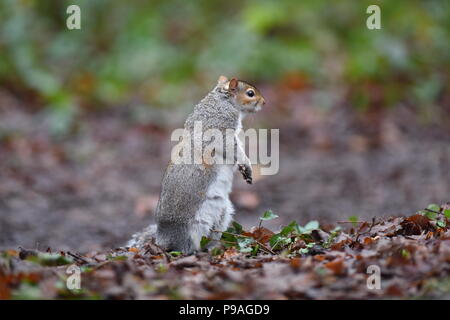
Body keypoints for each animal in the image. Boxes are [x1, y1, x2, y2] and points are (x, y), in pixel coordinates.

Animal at [126, 76, 266, 254]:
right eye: (250, 93)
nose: (264, 102)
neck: (223, 100)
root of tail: (162, 239)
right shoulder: (220, 127)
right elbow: (231, 147)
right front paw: (246, 164)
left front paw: (244, 170)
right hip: (192, 228)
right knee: (184, 247)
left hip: (223, 215)